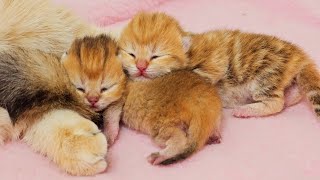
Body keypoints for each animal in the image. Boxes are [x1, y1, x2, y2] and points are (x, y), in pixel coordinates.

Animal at [119, 11, 224, 165]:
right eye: (132, 54)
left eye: (156, 56)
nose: (140, 66)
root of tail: (202, 108)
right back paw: (214, 135)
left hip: (163, 127)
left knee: (179, 140)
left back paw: (161, 156)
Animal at [119, 12, 320, 119]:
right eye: (131, 54)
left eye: (156, 56)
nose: (141, 66)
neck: (189, 52)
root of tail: (298, 54)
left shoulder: (215, 60)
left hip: (266, 74)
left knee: (276, 103)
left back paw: (245, 110)